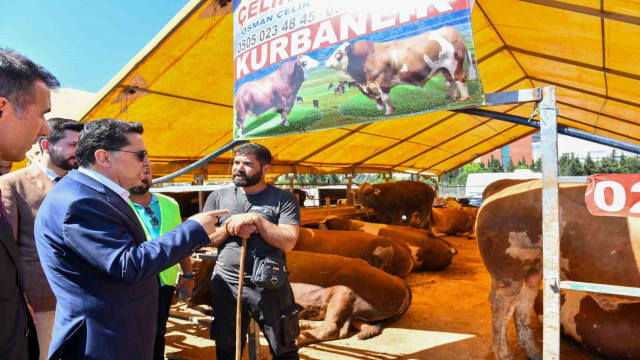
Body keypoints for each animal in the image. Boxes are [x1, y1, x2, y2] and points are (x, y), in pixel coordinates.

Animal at [324, 25, 476, 115]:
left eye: (338, 53)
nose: (326, 63)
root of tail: (450, 29)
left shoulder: (382, 81)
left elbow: (385, 98)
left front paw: (388, 111)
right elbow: (378, 99)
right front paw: (382, 109)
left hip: (454, 64)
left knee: (459, 79)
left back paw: (464, 97)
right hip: (444, 68)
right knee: (450, 82)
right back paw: (451, 96)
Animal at [476, 180, 640, 360]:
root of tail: (507, 184)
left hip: (531, 271)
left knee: (523, 304)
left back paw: (533, 351)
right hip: (509, 271)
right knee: (502, 309)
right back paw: (504, 354)